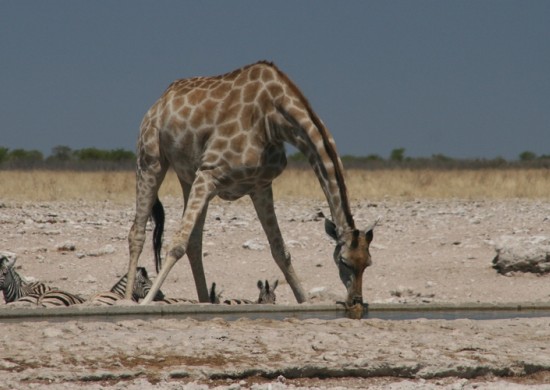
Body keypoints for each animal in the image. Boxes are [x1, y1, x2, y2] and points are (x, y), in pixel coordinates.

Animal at [128, 59, 380, 306]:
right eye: (344, 261)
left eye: (368, 262)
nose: (356, 300)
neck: (274, 119)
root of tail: (159, 102)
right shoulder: (209, 174)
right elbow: (177, 243)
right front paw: (146, 302)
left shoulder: (260, 185)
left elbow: (280, 250)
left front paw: (305, 301)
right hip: (151, 159)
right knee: (138, 232)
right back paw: (127, 298)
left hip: (188, 177)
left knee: (194, 243)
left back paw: (204, 302)